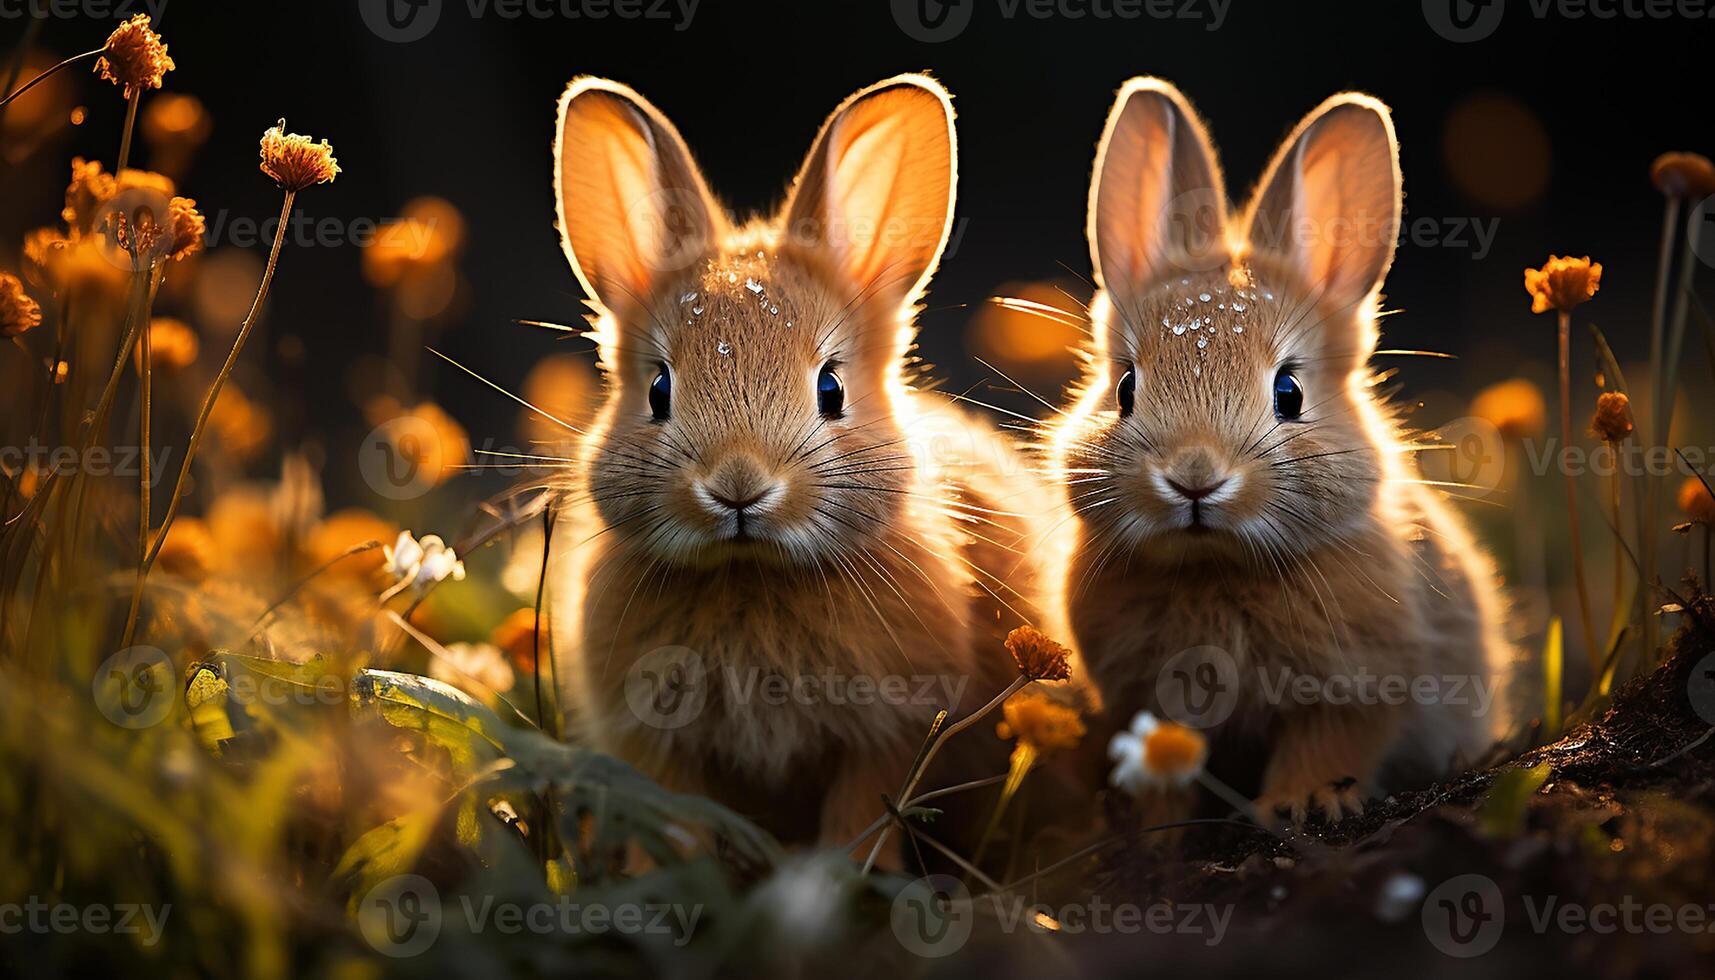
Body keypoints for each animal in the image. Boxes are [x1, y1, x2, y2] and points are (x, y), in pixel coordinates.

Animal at [541, 74, 1070, 858]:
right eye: (658, 390)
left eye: (831, 389)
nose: (738, 488)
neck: (751, 572)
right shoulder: (659, 750)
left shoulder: (884, 737)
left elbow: (857, 820)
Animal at [1042, 78, 1516, 827]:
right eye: (1124, 388)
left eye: (1288, 392)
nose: (1195, 478)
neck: (1213, 567)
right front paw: (1155, 832)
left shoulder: (1358, 687)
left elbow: (1327, 744)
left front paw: (1302, 804)